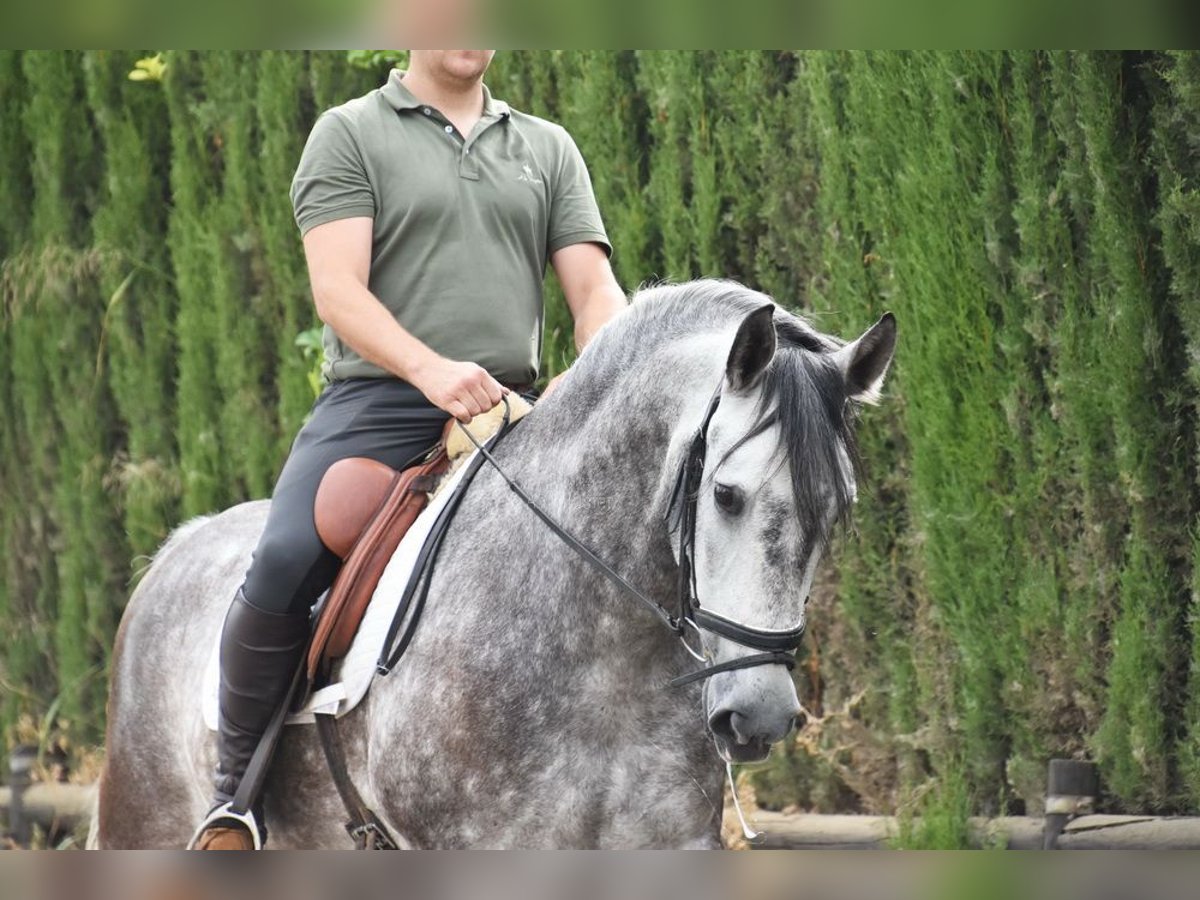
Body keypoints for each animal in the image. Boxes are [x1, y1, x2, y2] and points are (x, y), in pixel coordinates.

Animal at [92, 279, 895, 848]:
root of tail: (179, 547)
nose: (760, 717)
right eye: (726, 495)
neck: (601, 651)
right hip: (146, 820)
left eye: (837, 511)